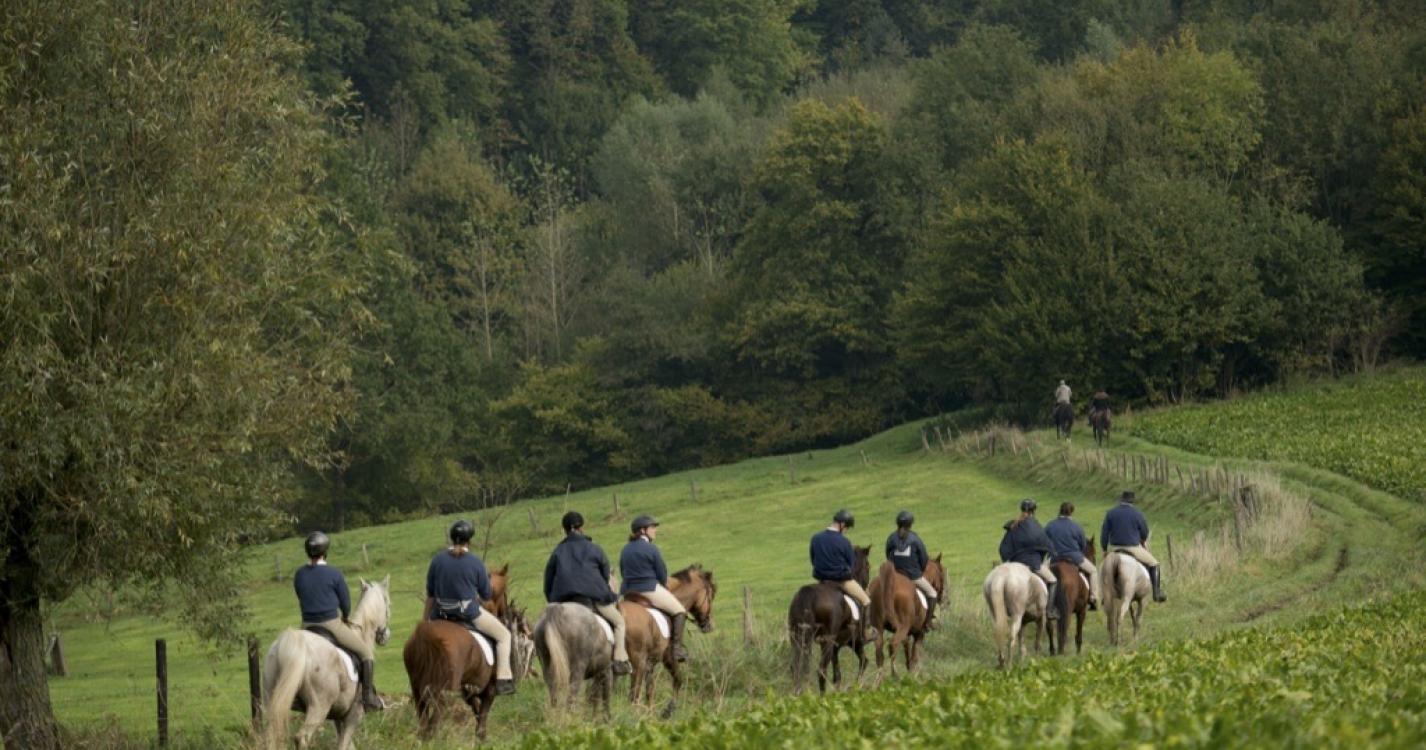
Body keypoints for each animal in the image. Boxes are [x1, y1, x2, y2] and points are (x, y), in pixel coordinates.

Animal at [262, 576, 392, 750]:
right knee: (302, 738)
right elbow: (343, 745)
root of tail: (288, 644)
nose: (385, 636)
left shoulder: (338, 716)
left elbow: (347, 745)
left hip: (273, 699)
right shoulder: (353, 716)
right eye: (388, 604)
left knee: (271, 736)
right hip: (318, 707)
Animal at [402, 564, 521, 740]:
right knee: (432, 727)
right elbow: (481, 722)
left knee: (423, 727)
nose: (506, 613)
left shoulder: (468, 691)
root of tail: (425, 635)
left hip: (418, 692)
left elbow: (477, 713)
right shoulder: (490, 690)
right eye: (504, 592)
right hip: (442, 695)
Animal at [622, 564, 718, 716]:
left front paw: (650, 716)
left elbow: (650, 691)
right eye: (711, 596)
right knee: (634, 695)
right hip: (637, 662)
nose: (708, 625)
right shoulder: (668, 657)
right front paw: (669, 710)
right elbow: (678, 680)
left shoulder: (650, 664)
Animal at [788, 545, 871, 695]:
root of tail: (807, 594)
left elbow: (837, 675)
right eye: (868, 566)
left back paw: (798, 693)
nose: (867, 589)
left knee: (796, 667)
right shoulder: (854, 642)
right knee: (821, 670)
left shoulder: (836, 647)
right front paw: (856, 687)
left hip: (796, 637)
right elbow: (863, 662)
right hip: (827, 641)